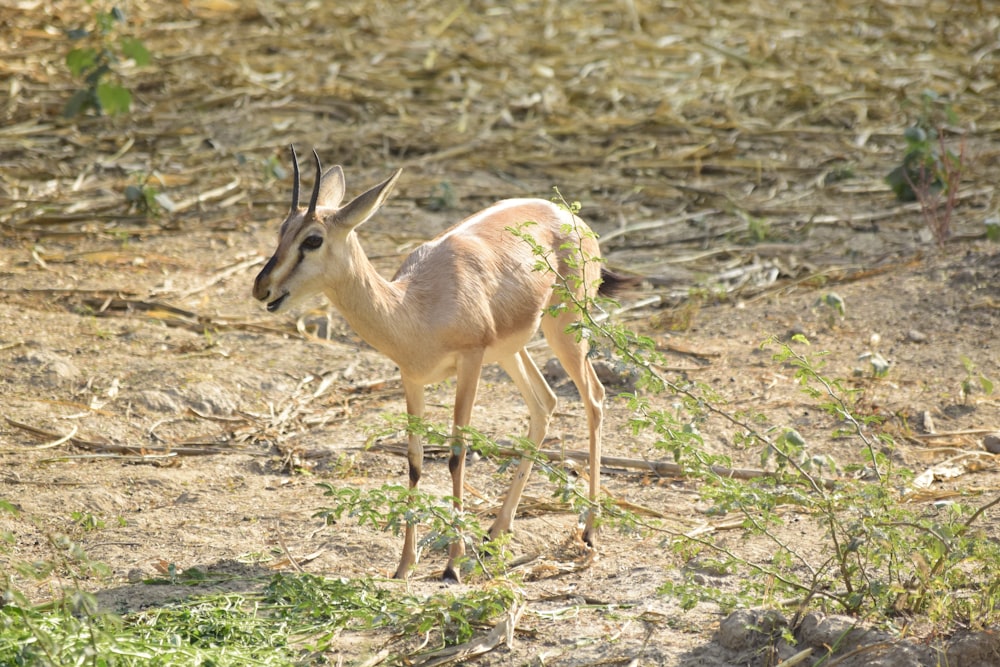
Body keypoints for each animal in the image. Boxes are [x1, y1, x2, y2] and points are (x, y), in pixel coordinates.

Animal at [254, 145, 612, 580]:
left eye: (313, 239)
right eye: (281, 231)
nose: (261, 287)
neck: (412, 307)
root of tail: (567, 214)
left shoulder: (470, 363)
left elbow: (457, 455)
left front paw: (453, 565)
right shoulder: (412, 378)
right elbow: (415, 462)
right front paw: (405, 565)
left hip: (565, 329)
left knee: (594, 398)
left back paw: (590, 532)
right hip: (511, 350)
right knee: (545, 403)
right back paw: (495, 533)